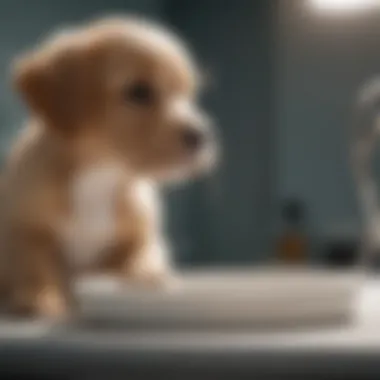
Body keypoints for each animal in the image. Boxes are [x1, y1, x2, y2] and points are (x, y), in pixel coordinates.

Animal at [0, 17, 217, 320]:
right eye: (139, 91)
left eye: (188, 94)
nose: (202, 136)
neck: (102, 175)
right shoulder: (24, 231)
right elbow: (36, 267)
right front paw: (39, 297)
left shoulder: (145, 239)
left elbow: (139, 260)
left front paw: (147, 280)